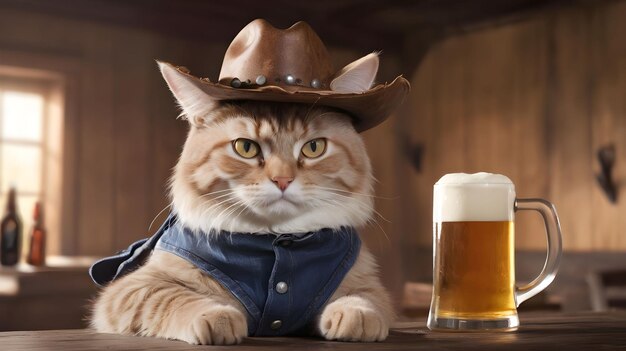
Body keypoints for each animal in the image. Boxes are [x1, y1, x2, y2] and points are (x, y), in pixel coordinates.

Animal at [90, 53, 392, 346]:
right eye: (245, 148)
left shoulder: (363, 279)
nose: (283, 180)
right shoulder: (131, 289)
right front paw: (216, 316)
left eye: (314, 147)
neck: (276, 240)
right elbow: (174, 298)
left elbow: (364, 298)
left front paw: (357, 316)